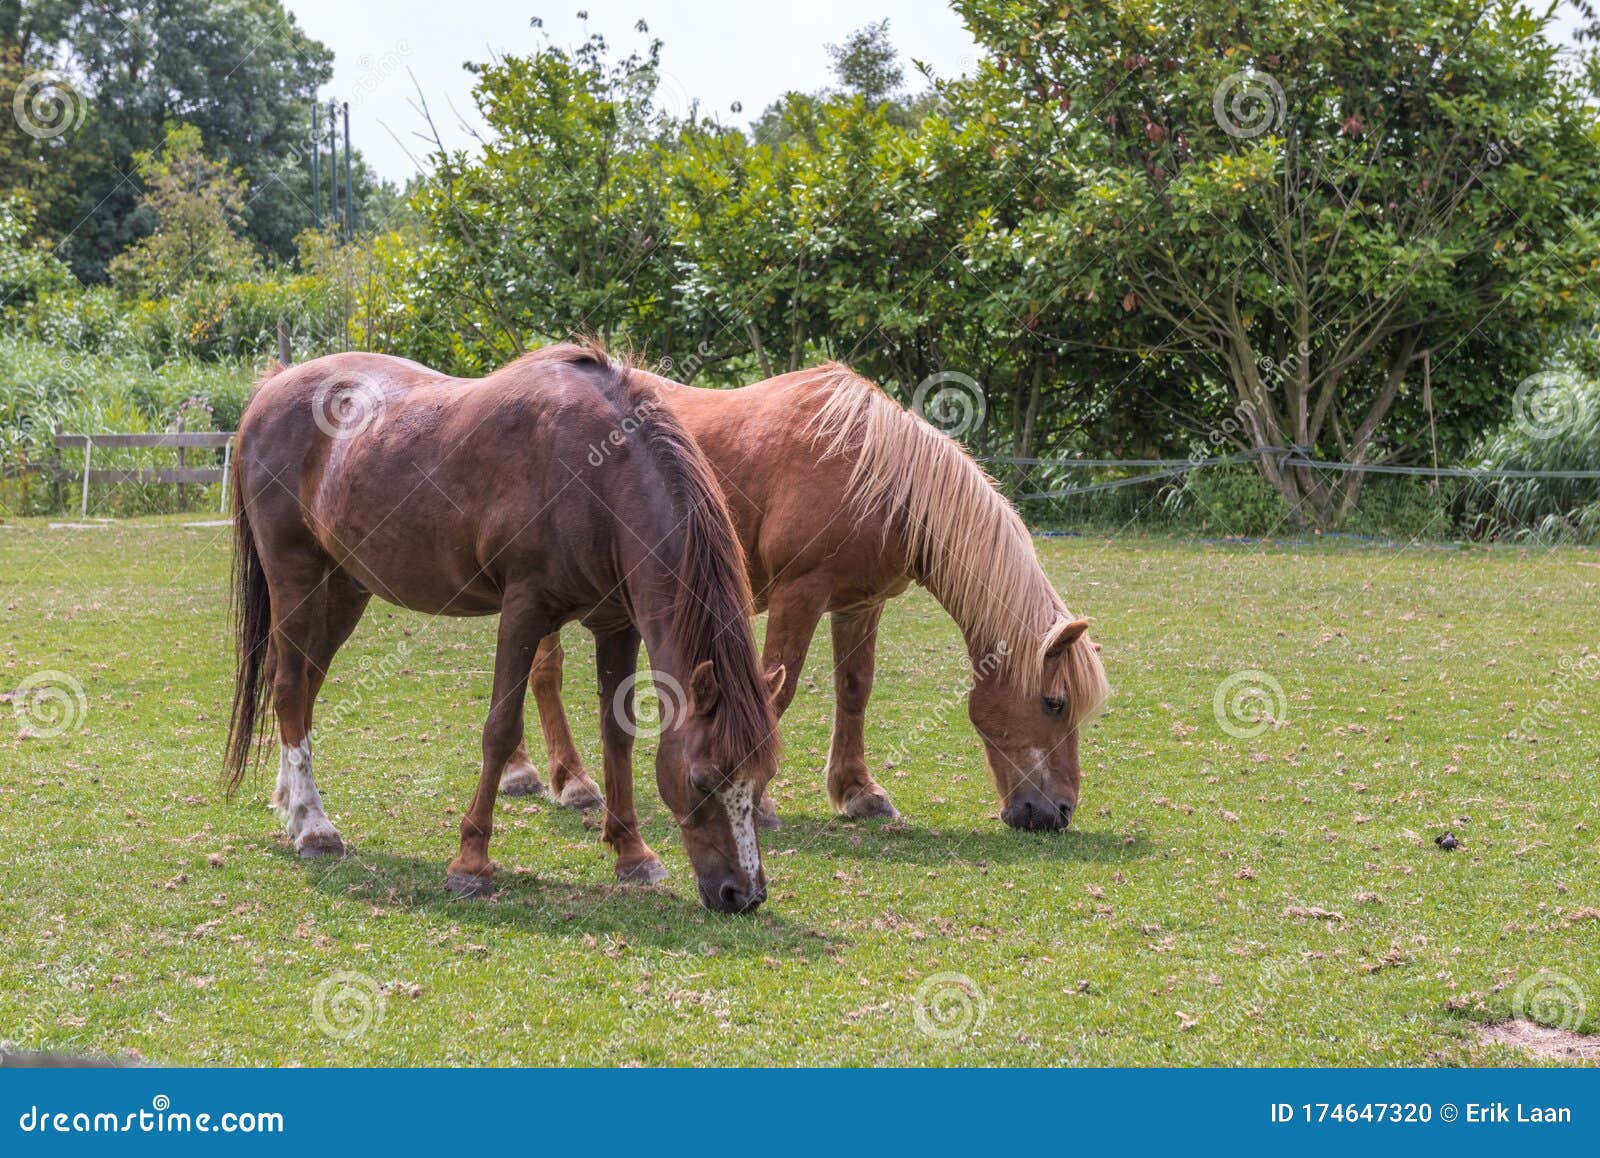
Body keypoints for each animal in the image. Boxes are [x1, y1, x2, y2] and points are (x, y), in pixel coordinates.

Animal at [222, 343, 784, 914]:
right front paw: (471, 863)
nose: (744, 894)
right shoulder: (524, 610)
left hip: (344, 589)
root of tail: (272, 388)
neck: (597, 473)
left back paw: (290, 803)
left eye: (763, 776)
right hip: (295, 578)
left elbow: (618, 731)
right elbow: (500, 729)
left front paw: (631, 852)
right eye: (702, 780)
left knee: (302, 686)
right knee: (289, 687)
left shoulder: (617, 624)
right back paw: (314, 828)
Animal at [505, 366, 1107, 825]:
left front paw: (858, 791)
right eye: (1054, 703)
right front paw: (757, 799)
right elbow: (779, 689)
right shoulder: (800, 593)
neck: (874, 472)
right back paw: (565, 780)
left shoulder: (859, 603)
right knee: (542, 673)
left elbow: (855, 689)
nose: (1058, 813)